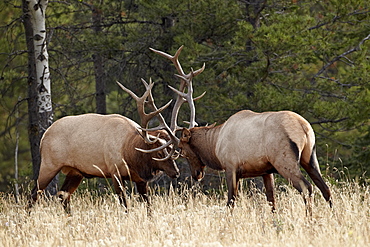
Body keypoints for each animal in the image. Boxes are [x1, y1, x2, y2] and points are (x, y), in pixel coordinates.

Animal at [28, 80, 179, 213]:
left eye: (173, 151)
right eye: (159, 153)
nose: (176, 172)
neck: (129, 153)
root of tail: (43, 137)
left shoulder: (141, 180)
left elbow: (149, 207)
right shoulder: (115, 172)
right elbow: (125, 205)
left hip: (75, 171)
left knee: (63, 195)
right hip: (49, 164)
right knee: (34, 194)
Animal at [147, 45, 332, 211]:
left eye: (183, 151)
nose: (196, 175)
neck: (215, 145)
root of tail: (303, 127)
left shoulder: (231, 166)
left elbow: (231, 201)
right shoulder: (266, 170)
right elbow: (271, 201)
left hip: (284, 159)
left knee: (307, 188)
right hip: (310, 156)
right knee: (325, 188)